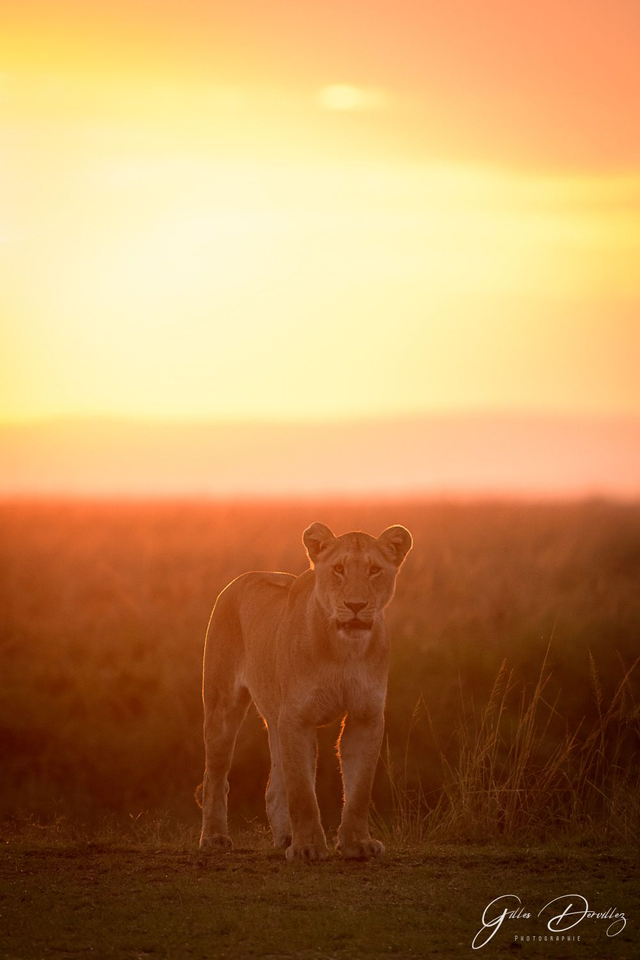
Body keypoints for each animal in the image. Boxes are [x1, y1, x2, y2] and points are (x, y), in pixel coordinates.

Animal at [198, 521, 413, 862]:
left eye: (374, 570)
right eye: (338, 569)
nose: (355, 606)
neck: (344, 650)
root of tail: (241, 579)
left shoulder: (366, 716)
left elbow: (359, 789)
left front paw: (357, 844)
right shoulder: (297, 718)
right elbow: (302, 790)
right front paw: (308, 847)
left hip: (275, 717)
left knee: (274, 787)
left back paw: (285, 837)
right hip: (223, 705)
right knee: (215, 776)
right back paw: (215, 837)